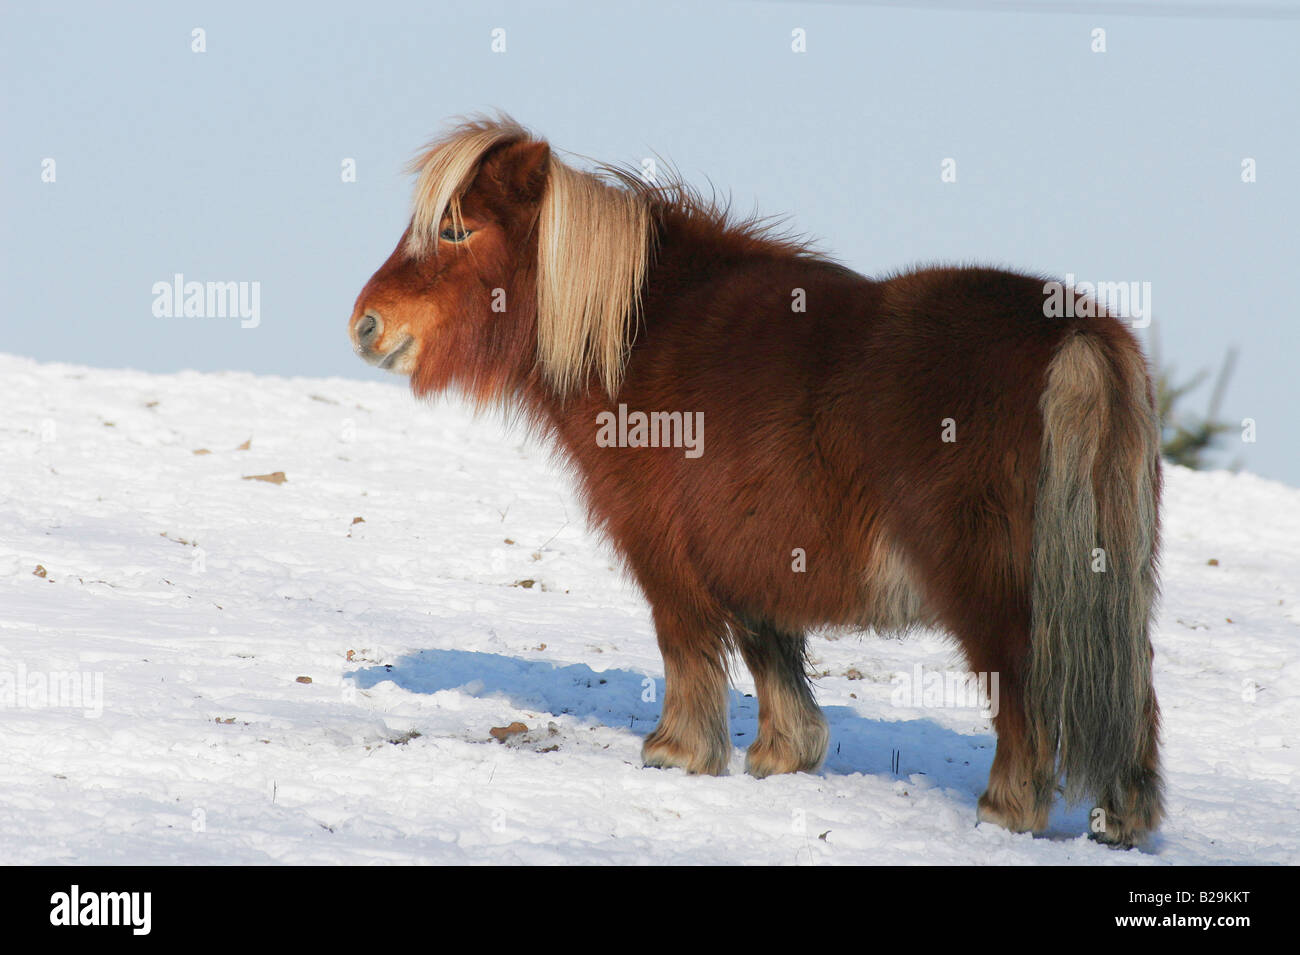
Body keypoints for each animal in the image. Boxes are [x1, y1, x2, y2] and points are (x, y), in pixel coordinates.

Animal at [351, 117, 1164, 841]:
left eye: (457, 231)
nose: (366, 323)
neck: (640, 334)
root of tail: (1077, 337)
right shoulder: (748, 548)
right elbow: (769, 651)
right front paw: (783, 755)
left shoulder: (666, 549)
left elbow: (685, 643)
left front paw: (676, 752)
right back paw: (1121, 820)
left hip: (993, 588)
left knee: (1023, 689)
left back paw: (1006, 810)